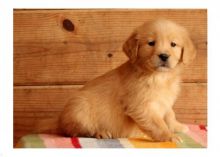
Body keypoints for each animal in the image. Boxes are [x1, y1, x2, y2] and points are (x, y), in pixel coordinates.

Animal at [41, 19, 196, 142]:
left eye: (173, 44)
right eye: (151, 43)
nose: (164, 56)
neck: (158, 76)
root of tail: (59, 122)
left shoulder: (165, 101)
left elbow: (170, 115)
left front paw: (177, 126)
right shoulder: (140, 106)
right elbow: (157, 123)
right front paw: (169, 136)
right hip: (79, 109)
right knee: (75, 132)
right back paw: (101, 132)